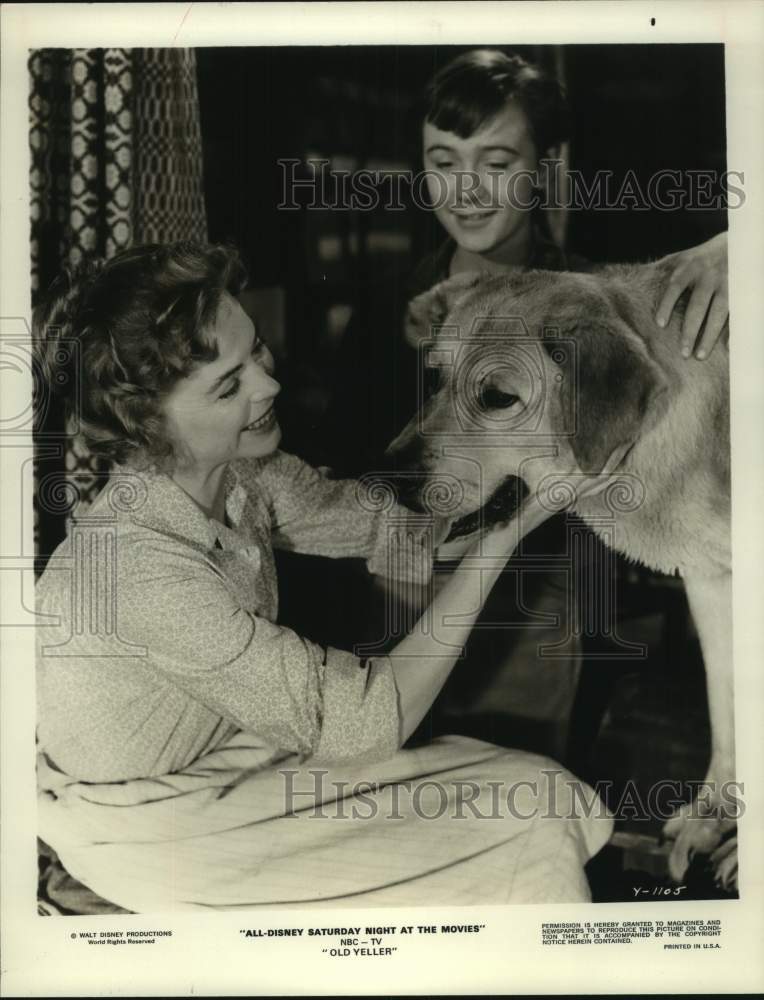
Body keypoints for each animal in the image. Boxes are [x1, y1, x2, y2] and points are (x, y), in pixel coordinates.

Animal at [388, 262, 736, 888]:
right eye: (434, 380)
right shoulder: (710, 581)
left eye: (498, 398)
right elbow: (727, 712)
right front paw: (716, 814)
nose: (390, 477)